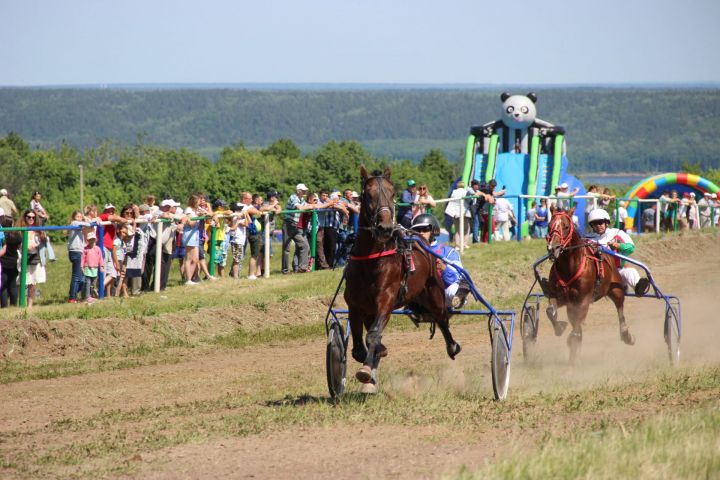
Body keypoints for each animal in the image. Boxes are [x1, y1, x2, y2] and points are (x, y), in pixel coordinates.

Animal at [344, 167, 462, 392]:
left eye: (392, 194)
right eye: (368, 195)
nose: (385, 227)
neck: (370, 260)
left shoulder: (386, 299)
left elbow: (373, 335)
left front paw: (367, 368)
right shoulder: (355, 305)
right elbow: (358, 348)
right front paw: (373, 359)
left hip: (434, 292)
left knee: (442, 318)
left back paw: (452, 346)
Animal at [544, 208, 636, 362]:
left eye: (566, 226)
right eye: (549, 226)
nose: (553, 248)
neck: (569, 267)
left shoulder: (583, 299)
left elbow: (576, 329)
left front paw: (573, 341)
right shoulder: (558, 296)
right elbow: (551, 311)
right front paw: (560, 328)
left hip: (615, 289)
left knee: (620, 308)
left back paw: (626, 335)